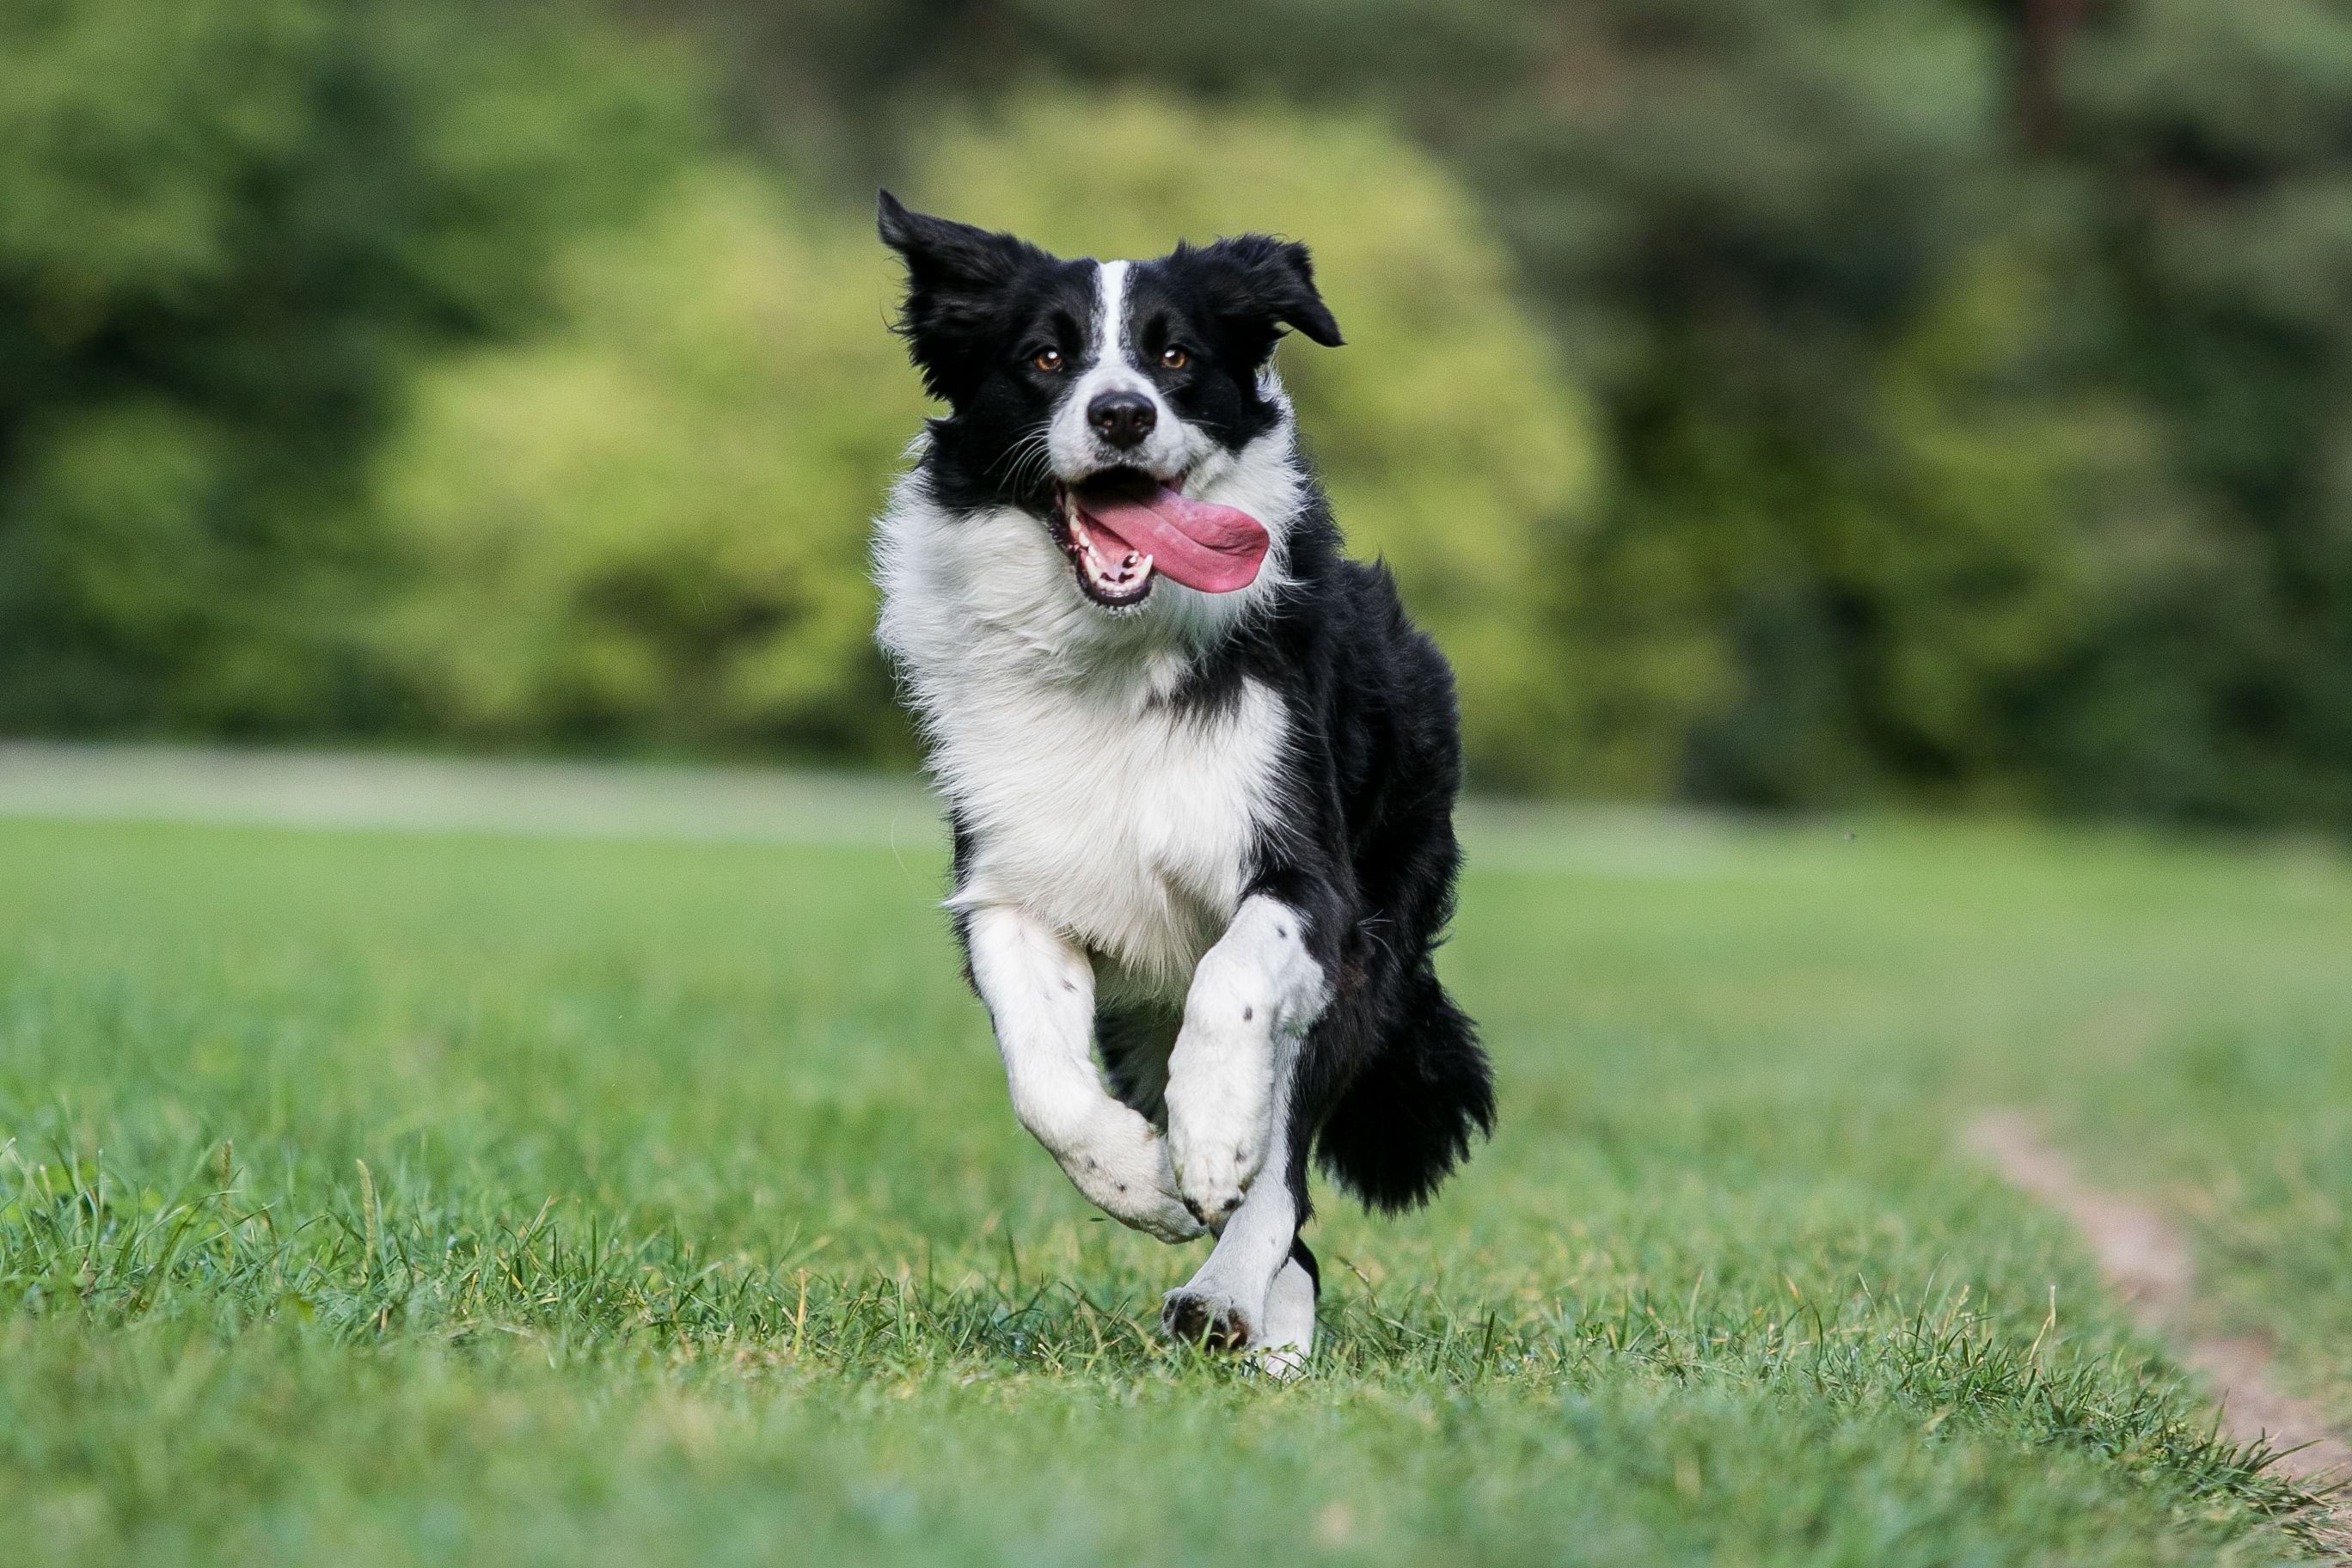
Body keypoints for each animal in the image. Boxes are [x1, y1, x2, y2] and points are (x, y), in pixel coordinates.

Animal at [874, 193, 1496, 1373]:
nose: (1120, 414)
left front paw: (1206, 1141)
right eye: (1046, 356)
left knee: (1287, 1170)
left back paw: (1232, 1299)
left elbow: (1236, 988)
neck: (1112, 658)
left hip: (1374, 949)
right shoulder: (1011, 886)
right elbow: (1041, 1079)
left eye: (1175, 356)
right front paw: (1140, 1180)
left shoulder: (1313, 885)